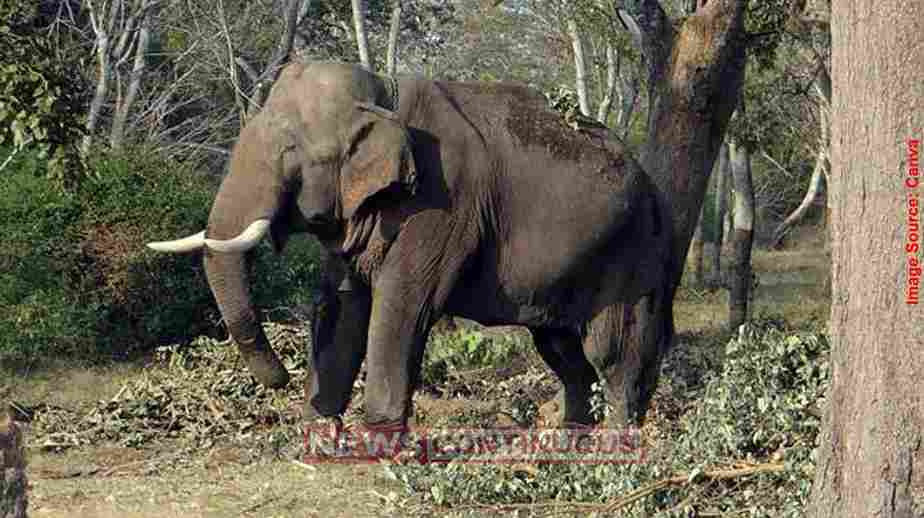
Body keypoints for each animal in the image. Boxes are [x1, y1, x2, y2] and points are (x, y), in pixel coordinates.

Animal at [147, 61, 675, 432]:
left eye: (292, 154)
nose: (282, 379)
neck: (385, 94)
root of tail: (656, 191)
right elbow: (342, 305)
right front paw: (316, 433)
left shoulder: (444, 204)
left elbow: (403, 302)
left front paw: (377, 439)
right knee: (562, 351)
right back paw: (569, 442)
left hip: (633, 258)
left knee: (613, 352)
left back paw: (615, 444)